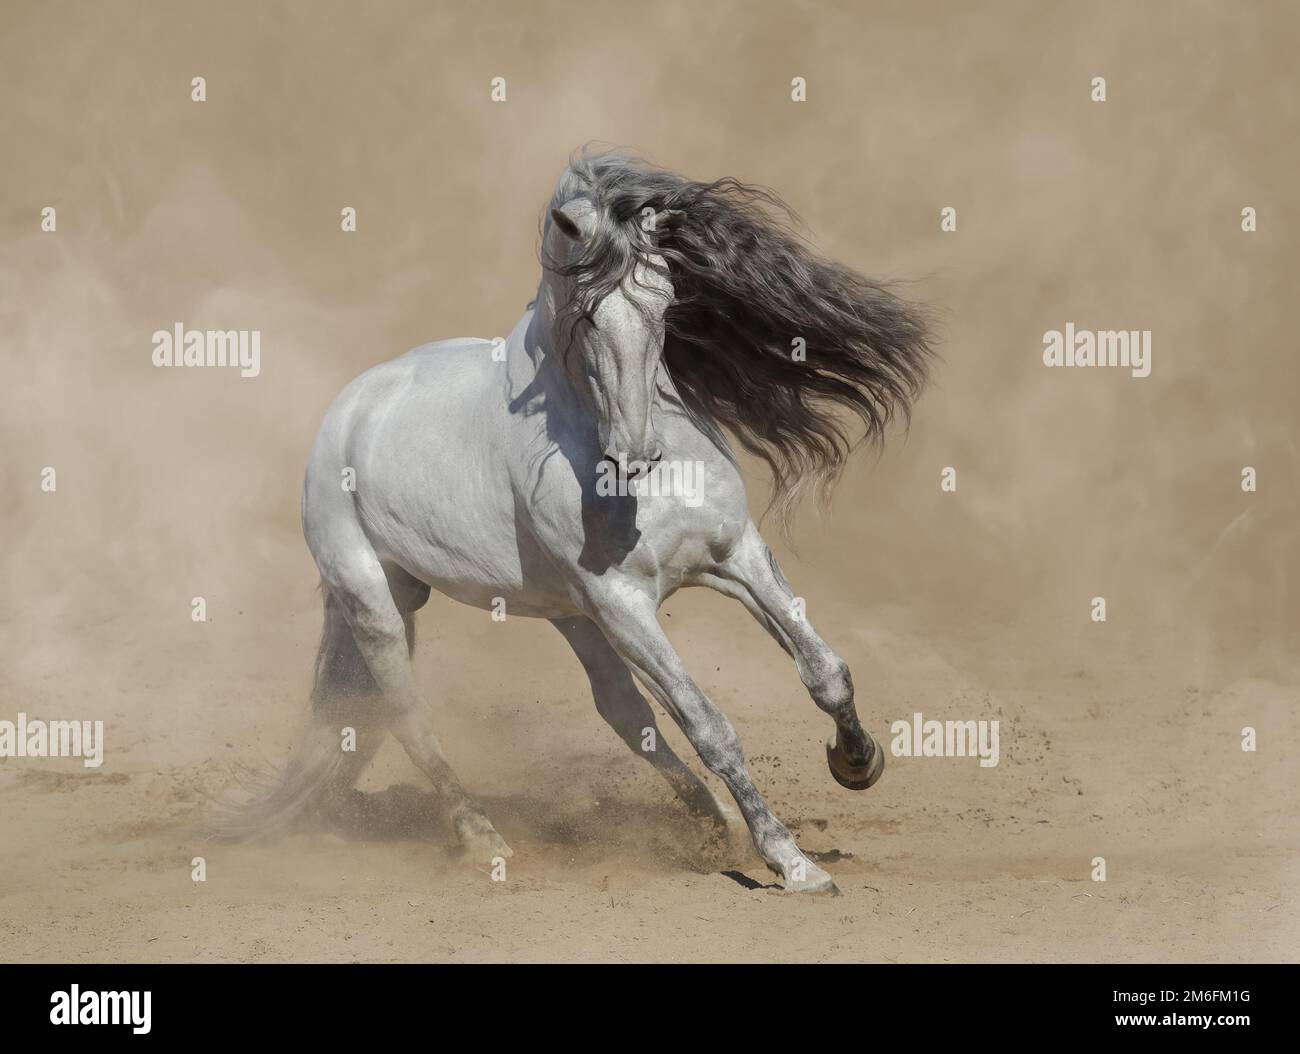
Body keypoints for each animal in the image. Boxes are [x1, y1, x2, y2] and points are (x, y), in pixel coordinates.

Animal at [239, 149, 932, 894]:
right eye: (586, 316)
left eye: (666, 302)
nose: (632, 455)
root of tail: (349, 409)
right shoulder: (623, 602)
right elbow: (710, 727)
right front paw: (793, 863)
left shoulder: (734, 555)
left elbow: (824, 671)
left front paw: (857, 762)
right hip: (379, 603)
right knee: (405, 714)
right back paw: (482, 837)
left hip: (570, 616)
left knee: (624, 714)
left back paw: (715, 824)